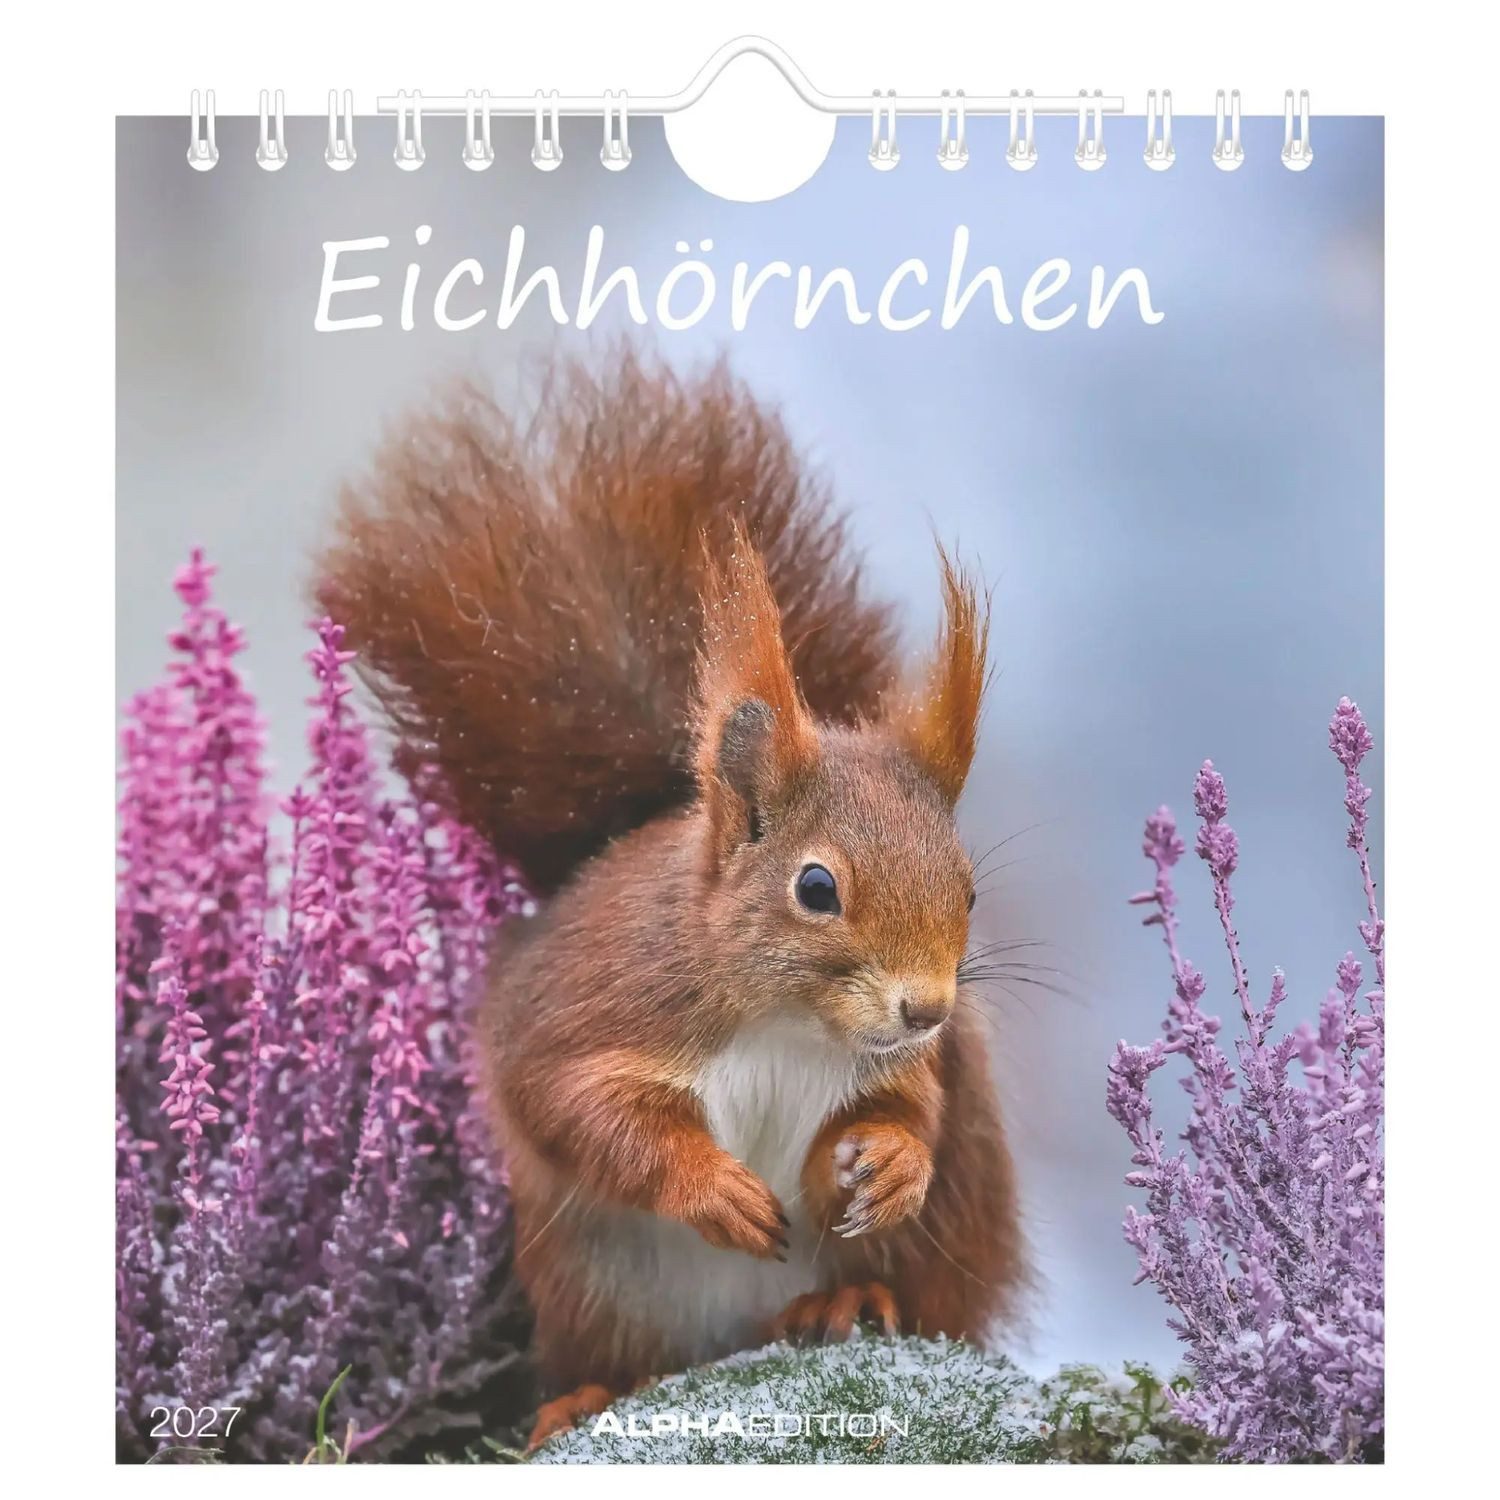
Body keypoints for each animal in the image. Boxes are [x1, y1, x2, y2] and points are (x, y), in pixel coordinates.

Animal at [317, 351, 1026, 1451]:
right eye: (816, 887)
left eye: (970, 888)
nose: (927, 1008)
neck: (788, 1022)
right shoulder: (592, 1008)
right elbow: (582, 1109)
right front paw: (716, 1189)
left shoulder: (904, 1066)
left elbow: (913, 1107)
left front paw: (887, 1163)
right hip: (594, 1283)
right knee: (618, 1354)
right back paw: (584, 1399)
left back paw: (846, 1300)